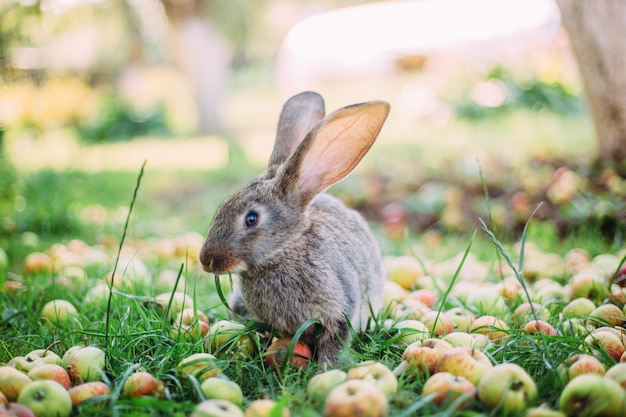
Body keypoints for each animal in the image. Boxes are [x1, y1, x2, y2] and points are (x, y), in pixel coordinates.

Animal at [197, 91, 388, 364]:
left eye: (251, 219)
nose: (206, 260)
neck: (282, 252)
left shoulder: (340, 311)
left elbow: (334, 343)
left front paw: (326, 369)